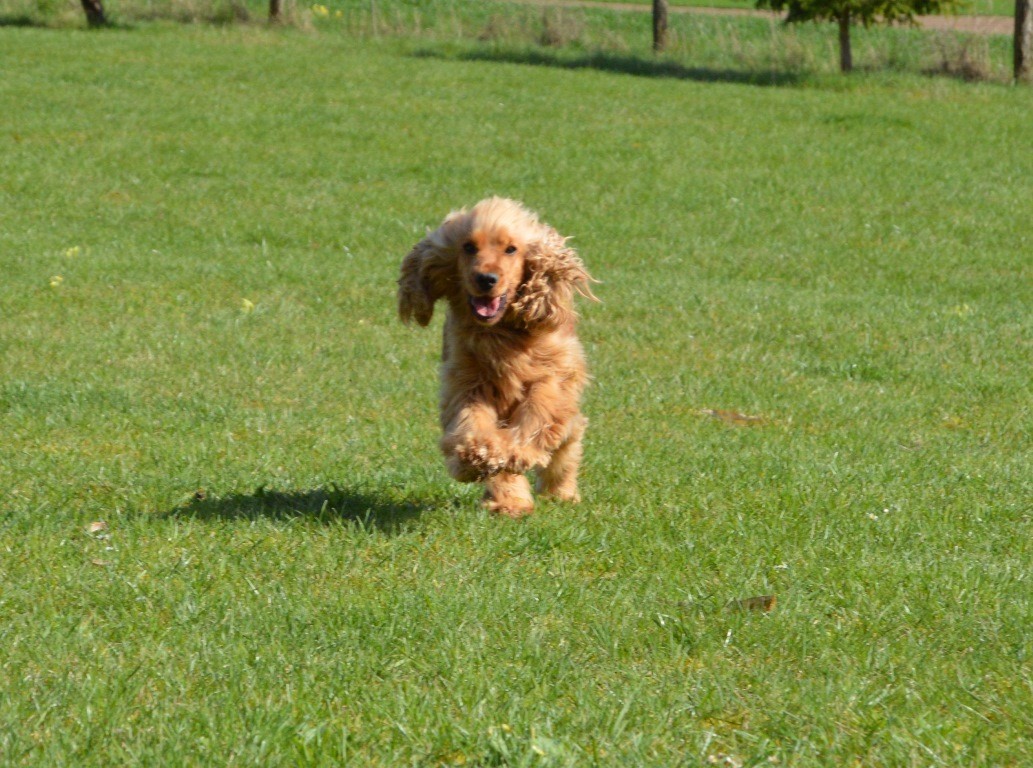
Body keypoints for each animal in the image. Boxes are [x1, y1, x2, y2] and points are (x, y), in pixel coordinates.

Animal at [398, 197, 596, 517]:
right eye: (468, 247)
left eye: (511, 249)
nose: (486, 279)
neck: (503, 333)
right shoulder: (467, 380)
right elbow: (471, 421)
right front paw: (474, 456)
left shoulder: (554, 375)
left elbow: (539, 413)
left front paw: (517, 451)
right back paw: (509, 500)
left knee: (569, 438)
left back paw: (560, 491)